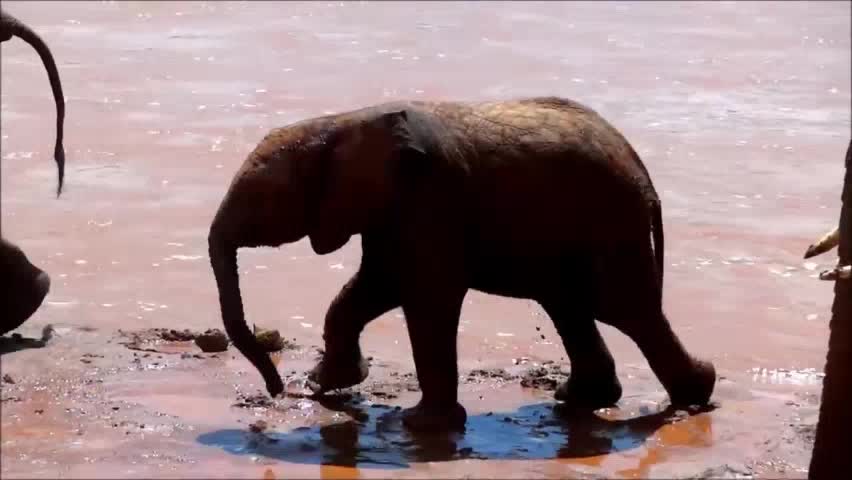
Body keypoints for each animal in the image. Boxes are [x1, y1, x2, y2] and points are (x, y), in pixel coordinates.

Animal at [210, 96, 716, 432]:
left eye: (262, 201)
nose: (279, 389)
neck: (343, 123)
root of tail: (640, 169)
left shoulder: (431, 203)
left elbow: (425, 298)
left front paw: (420, 424)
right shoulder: (391, 210)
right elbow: (373, 287)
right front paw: (330, 383)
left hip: (610, 223)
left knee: (624, 310)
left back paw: (694, 395)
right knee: (571, 307)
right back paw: (583, 399)